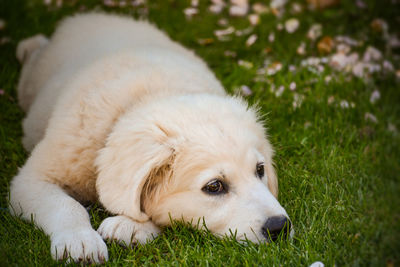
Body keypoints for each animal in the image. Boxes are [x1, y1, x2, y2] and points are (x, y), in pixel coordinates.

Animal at [8, 13, 290, 262]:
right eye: (214, 186)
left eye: (260, 170)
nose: (280, 227)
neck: (149, 94)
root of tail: (85, 17)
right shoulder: (32, 179)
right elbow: (66, 206)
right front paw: (79, 241)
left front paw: (130, 227)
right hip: (31, 84)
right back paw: (28, 44)